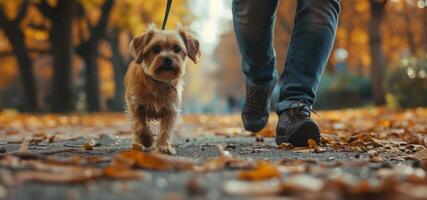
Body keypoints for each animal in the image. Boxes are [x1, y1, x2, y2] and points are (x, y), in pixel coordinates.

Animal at [124, 23, 201, 155]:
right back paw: (138, 145)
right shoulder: (136, 105)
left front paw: (164, 146)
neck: (159, 82)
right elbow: (140, 126)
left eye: (177, 48)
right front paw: (147, 140)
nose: (168, 59)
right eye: (155, 49)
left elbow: (166, 129)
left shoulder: (171, 109)